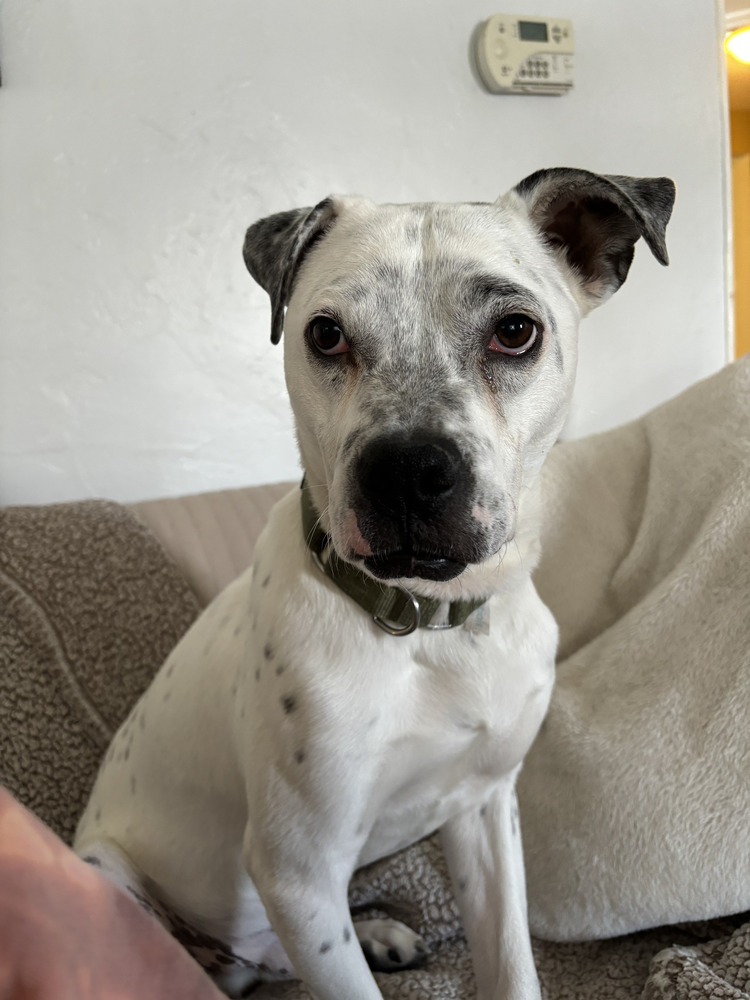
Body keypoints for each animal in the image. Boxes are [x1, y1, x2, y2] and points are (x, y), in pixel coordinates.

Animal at [75, 168, 676, 996]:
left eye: (515, 330)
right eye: (326, 334)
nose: (406, 472)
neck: (431, 625)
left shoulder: (484, 810)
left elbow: (511, 961)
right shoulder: (298, 871)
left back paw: (380, 934)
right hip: (113, 876)